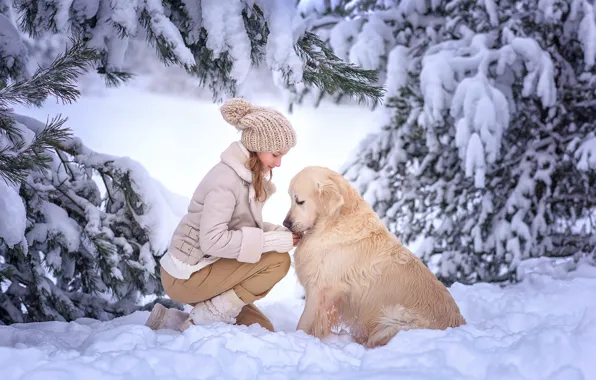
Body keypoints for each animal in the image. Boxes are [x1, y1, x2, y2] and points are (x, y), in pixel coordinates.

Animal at [282, 166, 466, 348]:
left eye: (299, 201)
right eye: (290, 198)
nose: (286, 224)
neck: (333, 223)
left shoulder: (321, 288)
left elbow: (305, 321)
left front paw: (298, 337)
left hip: (395, 318)